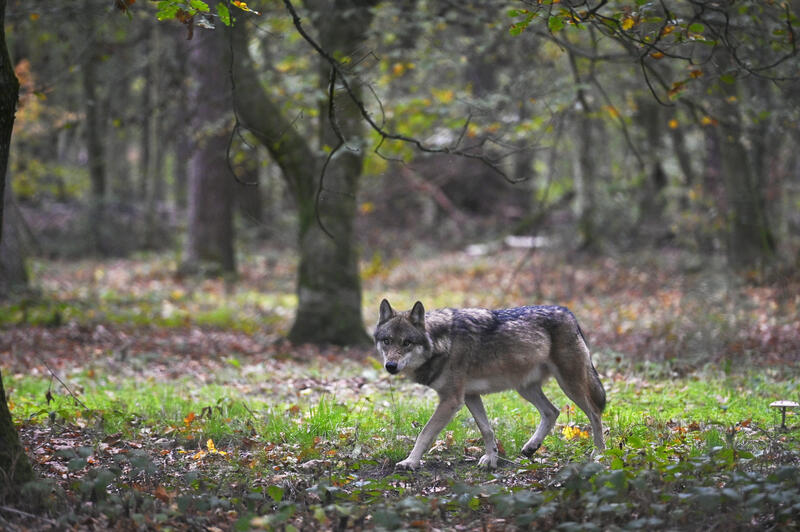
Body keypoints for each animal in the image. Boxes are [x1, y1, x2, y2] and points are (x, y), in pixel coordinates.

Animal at [376, 300, 608, 470]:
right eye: (387, 341)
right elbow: (486, 430)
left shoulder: (451, 401)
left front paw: (410, 462)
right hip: (525, 387)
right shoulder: (470, 396)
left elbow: (425, 433)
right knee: (553, 411)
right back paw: (531, 447)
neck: (441, 342)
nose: (390, 366)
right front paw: (491, 460)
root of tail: (568, 313)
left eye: (407, 343)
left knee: (595, 413)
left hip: (569, 384)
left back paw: (598, 454)